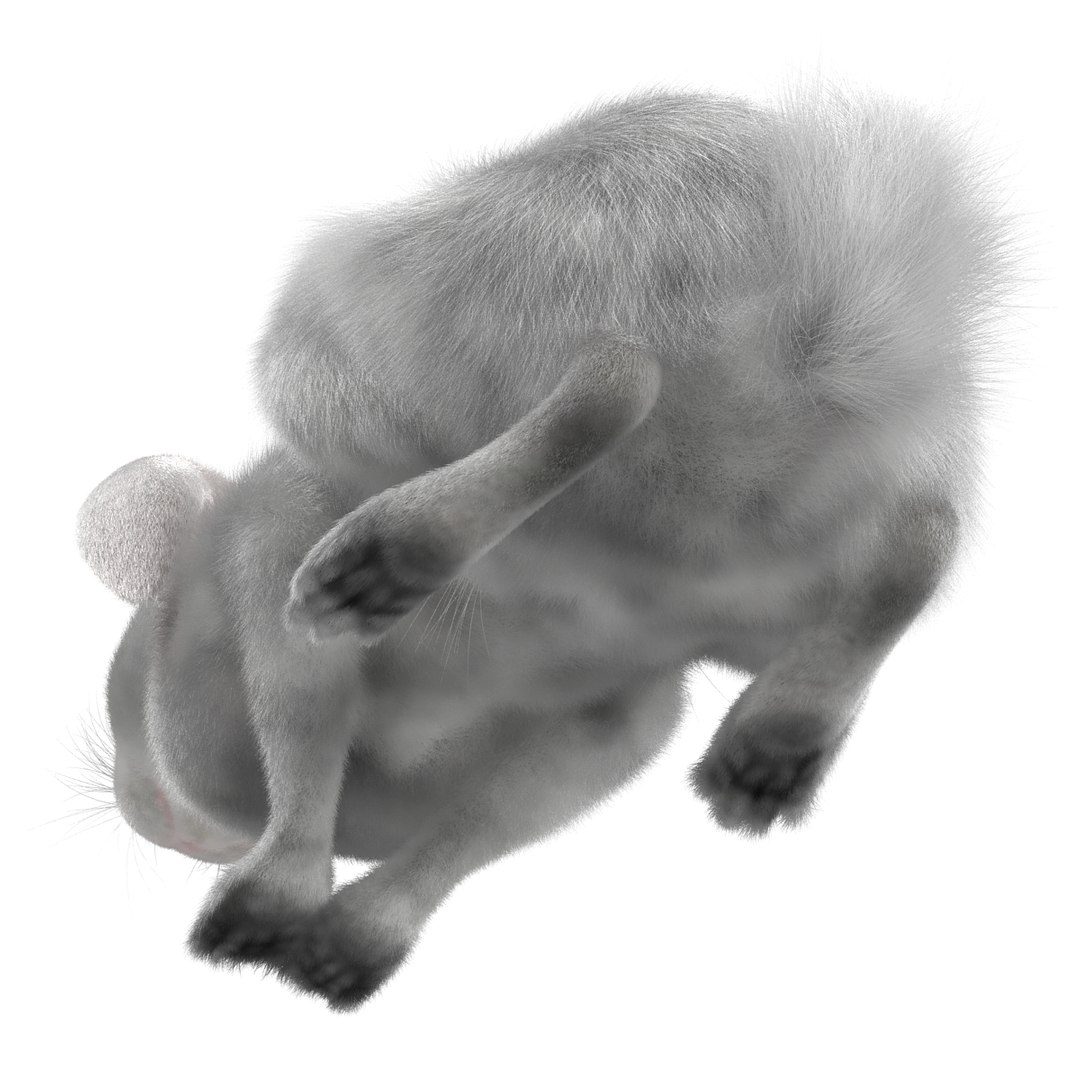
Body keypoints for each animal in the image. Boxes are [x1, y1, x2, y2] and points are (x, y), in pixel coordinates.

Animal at [77, 84, 1016, 1010]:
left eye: (123, 681)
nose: (137, 804)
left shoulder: (273, 548)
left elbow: (308, 723)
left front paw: (270, 911)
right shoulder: (627, 701)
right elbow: (498, 808)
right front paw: (338, 950)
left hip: (390, 315)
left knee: (612, 372)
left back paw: (394, 554)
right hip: (784, 519)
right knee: (918, 532)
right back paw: (773, 748)